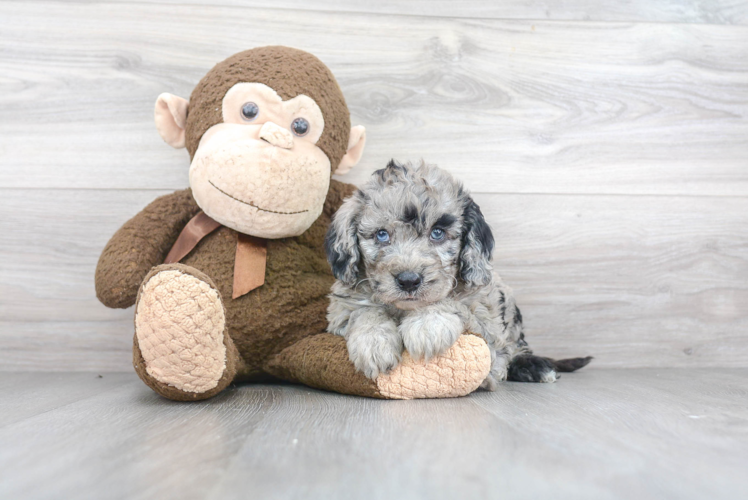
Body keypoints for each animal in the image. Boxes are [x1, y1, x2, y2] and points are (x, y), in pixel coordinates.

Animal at [326, 160, 592, 386]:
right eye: (381, 235)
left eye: (438, 232)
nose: (409, 281)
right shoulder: (339, 310)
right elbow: (362, 310)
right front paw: (373, 343)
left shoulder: (488, 330)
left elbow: (456, 304)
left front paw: (427, 325)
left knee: (517, 346)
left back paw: (534, 366)